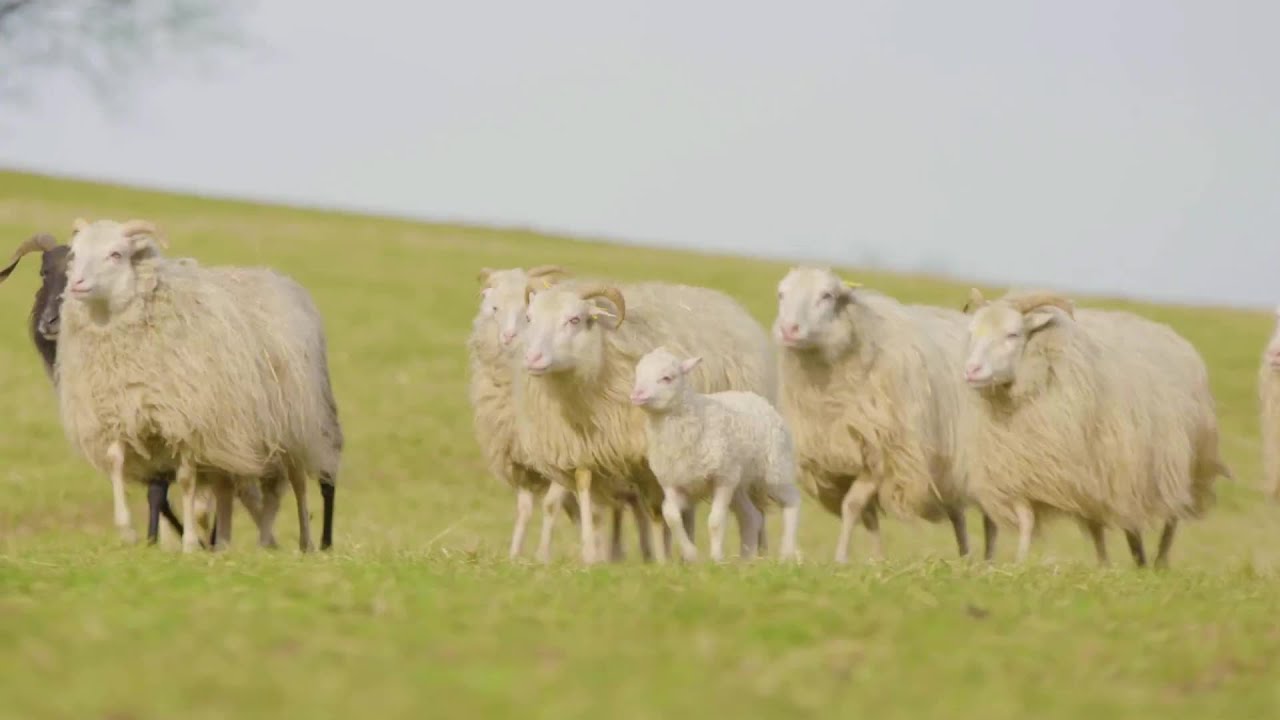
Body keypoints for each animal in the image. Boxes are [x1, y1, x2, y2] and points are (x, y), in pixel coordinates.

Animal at [55, 217, 340, 553]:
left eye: (116, 254)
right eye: (74, 254)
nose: (77, 284)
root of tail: (278, 278)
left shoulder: (189, 422)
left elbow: (187, 481)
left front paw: (190, 544)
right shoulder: (119, 412)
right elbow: (116, 463)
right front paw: (127, 531)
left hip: (293, 425)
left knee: (295, 485)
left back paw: (303, 543)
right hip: (234, 437)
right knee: (232, 488)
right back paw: (228, 543)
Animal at [514, 279, 777, 564]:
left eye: (575, 319)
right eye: (529, 318)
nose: (532, 359)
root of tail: (725, 301)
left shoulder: (648, 459)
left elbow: (657, 512)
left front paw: (661, 559)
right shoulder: (583, 452)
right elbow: (588, 501)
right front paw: (591, 556)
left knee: (754, 505)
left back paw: (758, 554)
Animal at [630, 347, 801, 562]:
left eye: (667, 378)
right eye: (637, 375)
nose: (637, 394)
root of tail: (760, 401)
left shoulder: (723, 478)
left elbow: (715, 520)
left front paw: (716, 558)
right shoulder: (673, 482)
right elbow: (670, 515)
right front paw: (691, 554)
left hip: (774, 470)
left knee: (793, 501)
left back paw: (786, 552)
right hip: (739, 483)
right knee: (751, 516)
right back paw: (747, 560)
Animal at [772, 266, 996, 563]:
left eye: (827, 295)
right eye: (781, 294)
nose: (789, 329)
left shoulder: (882, 453)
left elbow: (852, 505)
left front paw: (841, 558)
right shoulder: (842, 459)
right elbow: (867, 515)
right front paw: (876, 560)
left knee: (991, 515)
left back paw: (989, 561)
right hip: (948, 466)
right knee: (957, 513)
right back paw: (965, 557)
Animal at [960, 288, 1229, 567]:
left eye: (1012, 334)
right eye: (972, 332)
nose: (971, 370)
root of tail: (1172, 334)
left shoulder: (1091, 471)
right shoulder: (1023, 472)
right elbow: (1030, 520)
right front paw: (1021, 563)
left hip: (1180, 464)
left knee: (1172, 516)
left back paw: (1160, 563)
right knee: (1132, 524)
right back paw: (1139, 562)